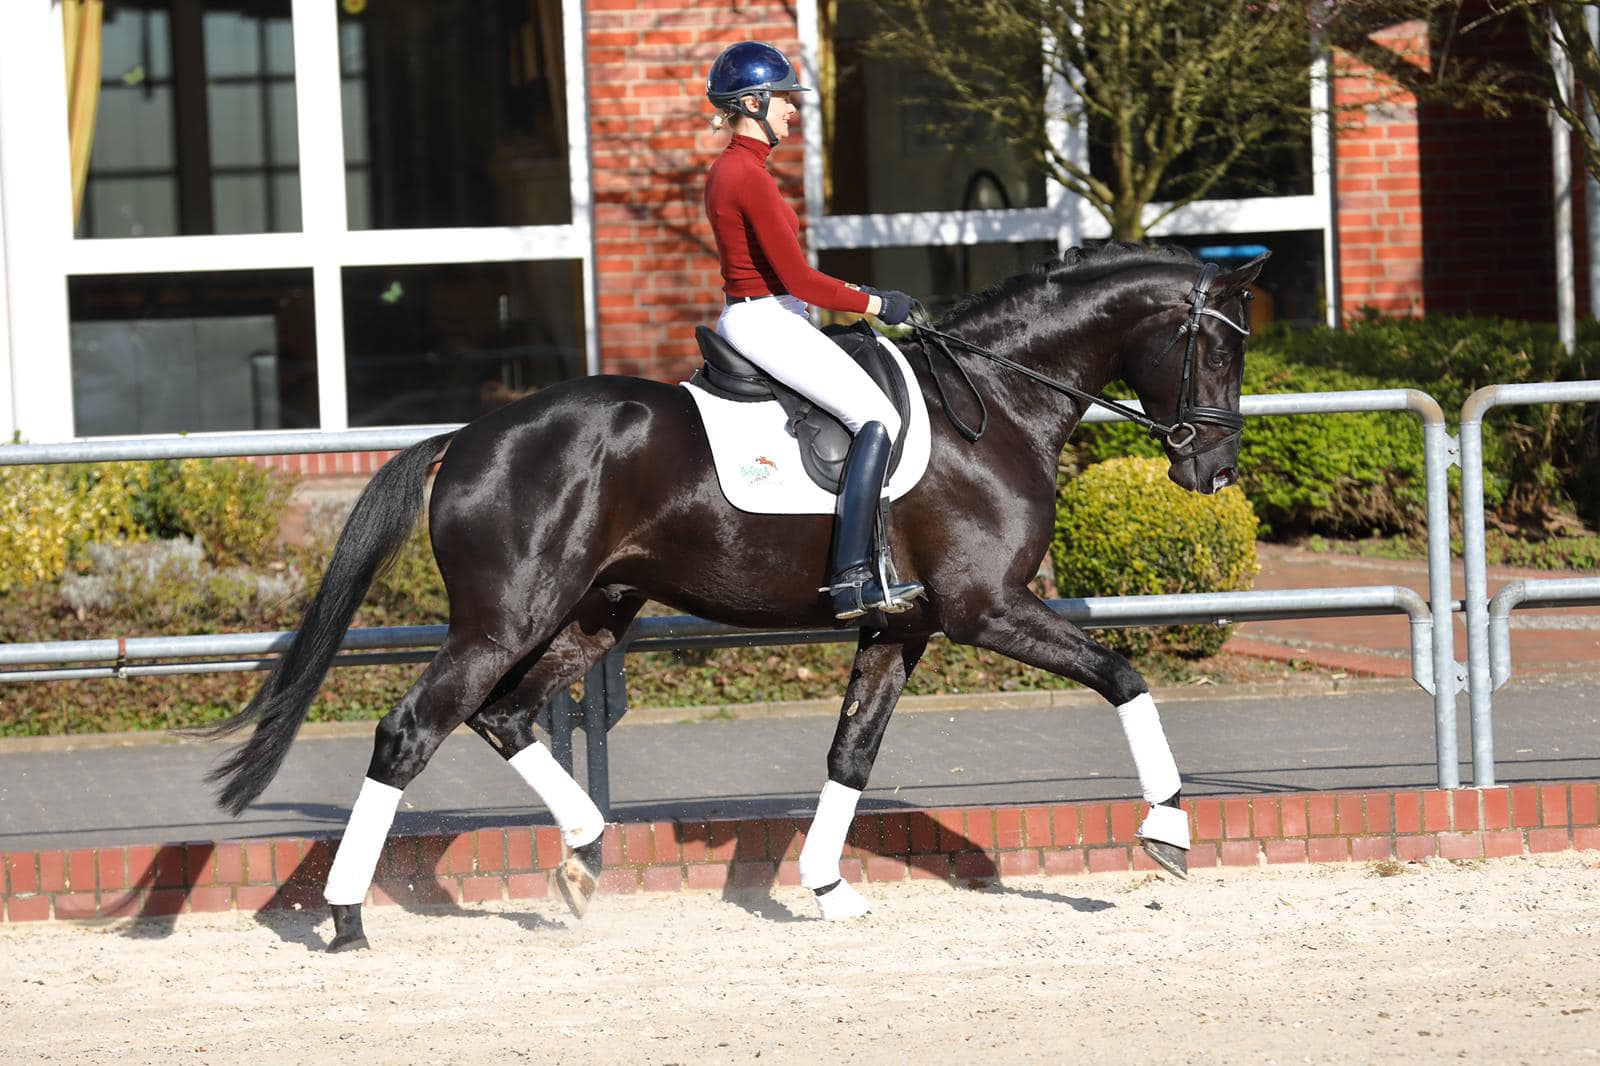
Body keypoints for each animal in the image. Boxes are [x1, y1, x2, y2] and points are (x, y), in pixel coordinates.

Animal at [209, 240, 1260, 947]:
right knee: (410, 731)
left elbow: (852, 753)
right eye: (1218, 353)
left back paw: (583, 857)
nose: (1212, 470)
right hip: (506, 619)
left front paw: (830, 888)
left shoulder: (904, 626)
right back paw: (348, 917)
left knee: (502, 717)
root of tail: (465, 438)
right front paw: (1168, 828)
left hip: (591, 614)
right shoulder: (985, 608)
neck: (995, 403)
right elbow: (1124, 675)